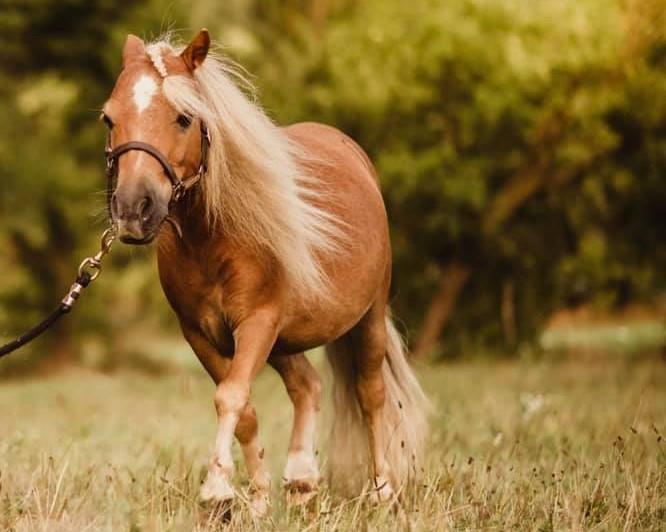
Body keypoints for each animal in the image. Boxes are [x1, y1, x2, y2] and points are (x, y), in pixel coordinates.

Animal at [102, 30, 428, 516]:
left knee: (370, 395)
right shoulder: (202, 334)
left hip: (363, 318)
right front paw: (254, 499)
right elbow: (245, 410)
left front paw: (217, 487)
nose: (131, 210)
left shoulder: (258, 322)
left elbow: (231, 397)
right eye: (109, 119)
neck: (214, 238)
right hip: (283, 340)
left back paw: (383, 491)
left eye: (184, 118)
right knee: (308, 386)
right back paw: (302, 480)